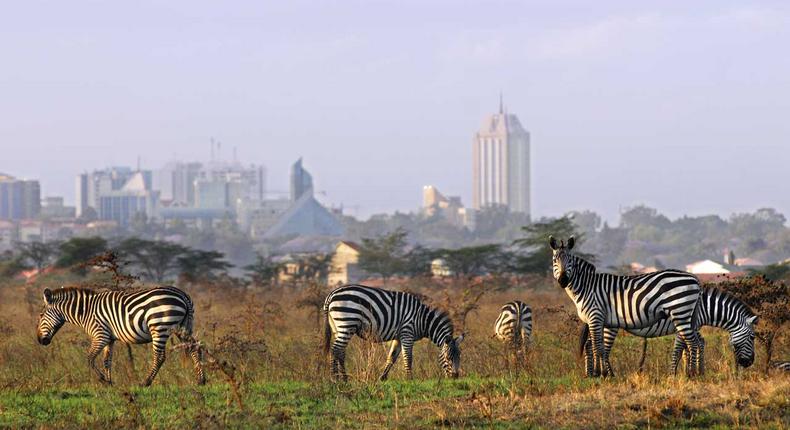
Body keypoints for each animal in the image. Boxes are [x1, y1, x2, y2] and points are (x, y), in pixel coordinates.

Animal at [37, 286, 206, 386]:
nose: (40, 340)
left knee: (159, 356)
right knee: (195, 347)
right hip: (182, 327)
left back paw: (146, 382)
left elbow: (90, 358)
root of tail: (183, 295)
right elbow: (106, 361)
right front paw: (110, 382)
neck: (85, 312)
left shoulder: (100, 335)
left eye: (40, 315)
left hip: (160, 327)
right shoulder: (109, 338)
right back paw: (201, 380)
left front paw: (103, 379)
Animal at [324, 284, 468, 382]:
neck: (422, 320)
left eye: (459, 357)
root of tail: (331, 294)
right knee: (335, 349)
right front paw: (409, 379)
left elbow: (391, 357)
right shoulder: (407, 333)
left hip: (339, 327)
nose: (455, 377)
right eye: (448, 357)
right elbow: (408, 357)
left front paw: (382, 378)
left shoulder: (398, 337)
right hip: (347, 322)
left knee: (340, 352)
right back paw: (334, 379)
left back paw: (344, 378)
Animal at [552, 235, 704, 376]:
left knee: (692, 342)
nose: (563, 280)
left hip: (680, 312)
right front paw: (601, 373)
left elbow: (597, 346)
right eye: (554, 260)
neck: (587, 286)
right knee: (693, 342)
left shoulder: (595, 316)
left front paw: (598, 373)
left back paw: (692, 374)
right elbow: (599, 347)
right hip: (685, 315)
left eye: (570, 260)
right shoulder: (598, 320)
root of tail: (694, 278)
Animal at [580, 288, 756, 376]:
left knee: (589, 344)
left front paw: (694, 372)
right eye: (753, 337)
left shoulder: (692, 327)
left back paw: (590, 374)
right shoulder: (685, 325)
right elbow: (680, 349)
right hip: (609, 325)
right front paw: (676, 374)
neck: (704, 307)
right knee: (601, 347)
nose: (749, 363)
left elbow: (693, 346)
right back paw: (605, 374)